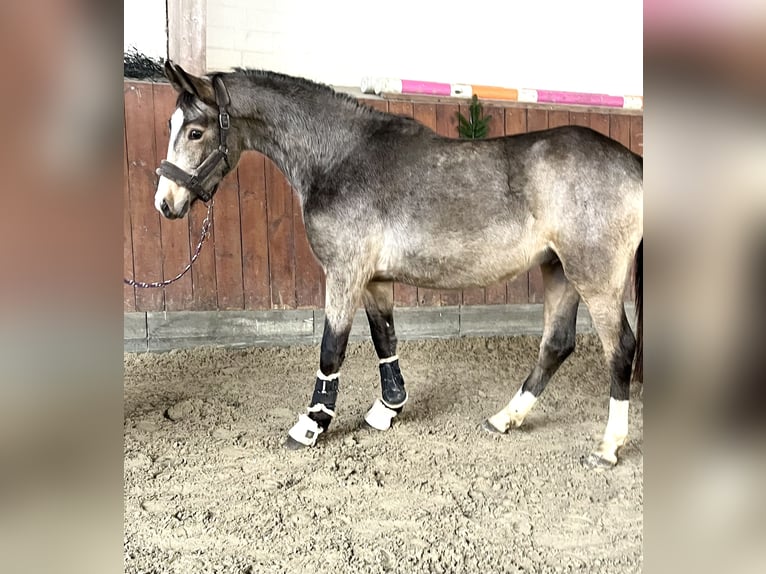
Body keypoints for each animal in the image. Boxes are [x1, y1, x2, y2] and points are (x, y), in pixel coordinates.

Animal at [154, 60, 640, 470]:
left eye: (195, 131)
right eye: (172, 125)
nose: (165, 203)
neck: (340, 158)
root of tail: (632, 164)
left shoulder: (345, 273)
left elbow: (332, 348)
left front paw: (311, 424)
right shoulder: (374, 280)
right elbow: (383, 339)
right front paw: (387, 410)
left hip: (594, 277)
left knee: (620, 349)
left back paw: (608, 448)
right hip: (559, 270)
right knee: (556, 345)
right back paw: (504, 418)